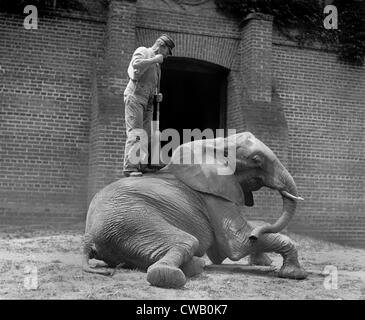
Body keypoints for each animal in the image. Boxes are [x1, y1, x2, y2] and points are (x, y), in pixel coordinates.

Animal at [82, 131, 308, 288]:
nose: (255, 237)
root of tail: (88, 237)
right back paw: (177, 273)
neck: (219, 143)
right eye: (256, 160)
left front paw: (263, 260)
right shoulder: (212, 195)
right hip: (132, 221)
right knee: (187, 241)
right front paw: (295, 275)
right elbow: (238, 244)